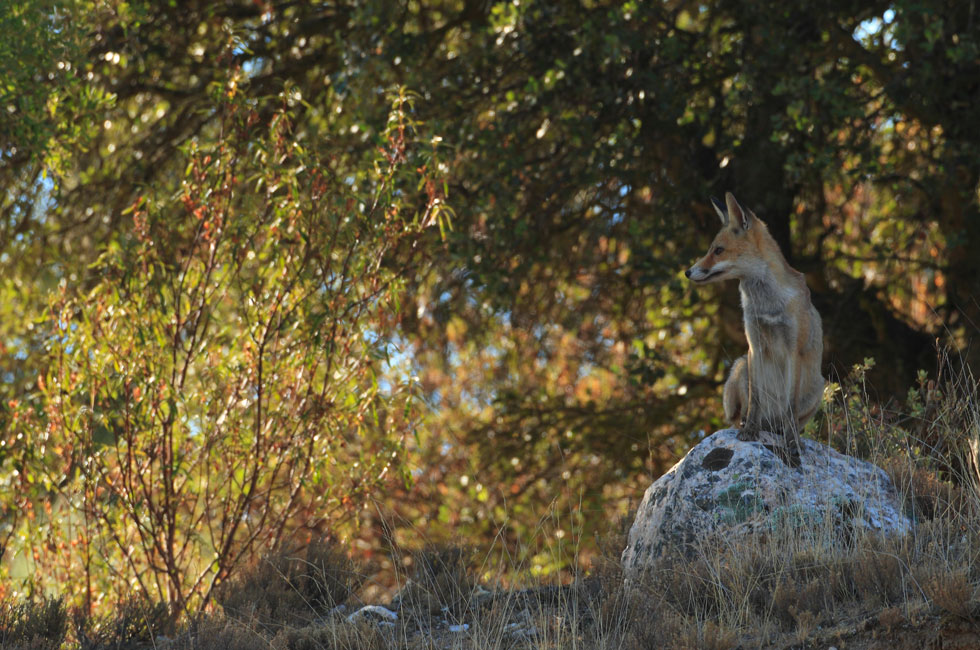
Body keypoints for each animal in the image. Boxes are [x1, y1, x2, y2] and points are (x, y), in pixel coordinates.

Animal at [684, 192, 824, 466]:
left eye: (718, 251)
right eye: (710, 250)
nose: (687, 271)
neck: (767, 305)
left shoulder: (794, 350)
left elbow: (791, 408)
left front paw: (793, 443)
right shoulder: (754, 345)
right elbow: (755, 400)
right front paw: (749, 431)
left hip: (818, 386)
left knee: (788, 419)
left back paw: (780, 430)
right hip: (739, 369)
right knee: (739, 413)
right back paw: (747, 424)